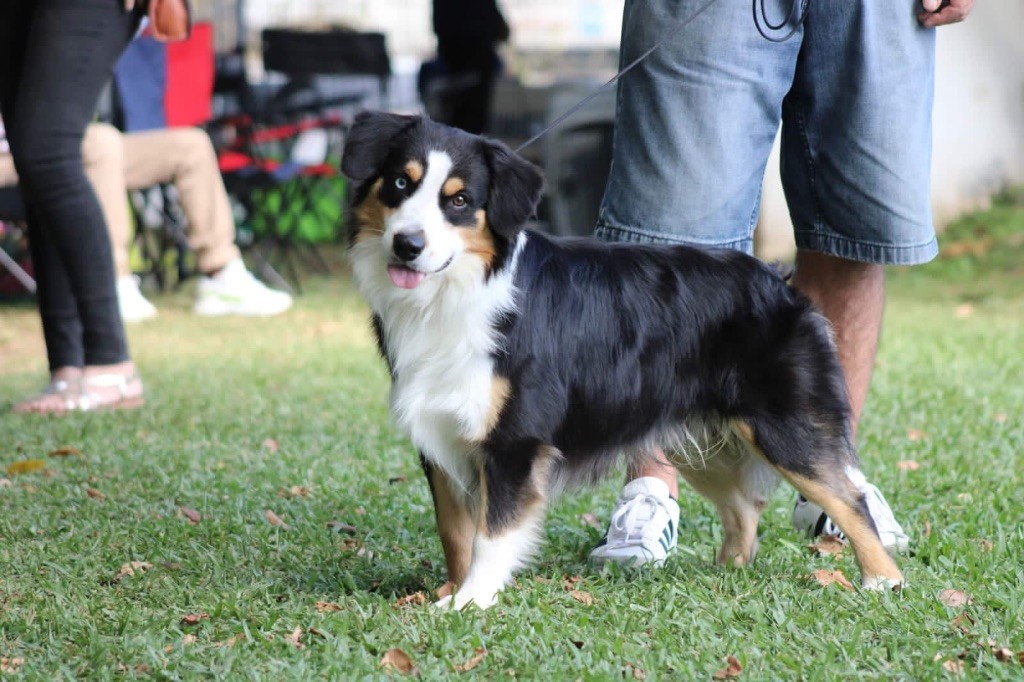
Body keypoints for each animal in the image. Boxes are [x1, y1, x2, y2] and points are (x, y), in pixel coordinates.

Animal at [339, 111, 901, 606]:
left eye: (458, 201)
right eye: (398, 183)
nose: (407, 245)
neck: (459, 291)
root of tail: (780, 282)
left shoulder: (514, 442)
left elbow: (490, 535)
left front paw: (471, 603)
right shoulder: (441, 435)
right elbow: (454, 532)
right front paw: (452, 594)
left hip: (785, 428)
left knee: (850, 499)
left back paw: (883, 582)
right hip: (703, 437)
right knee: (746, 503)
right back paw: (728, 575)